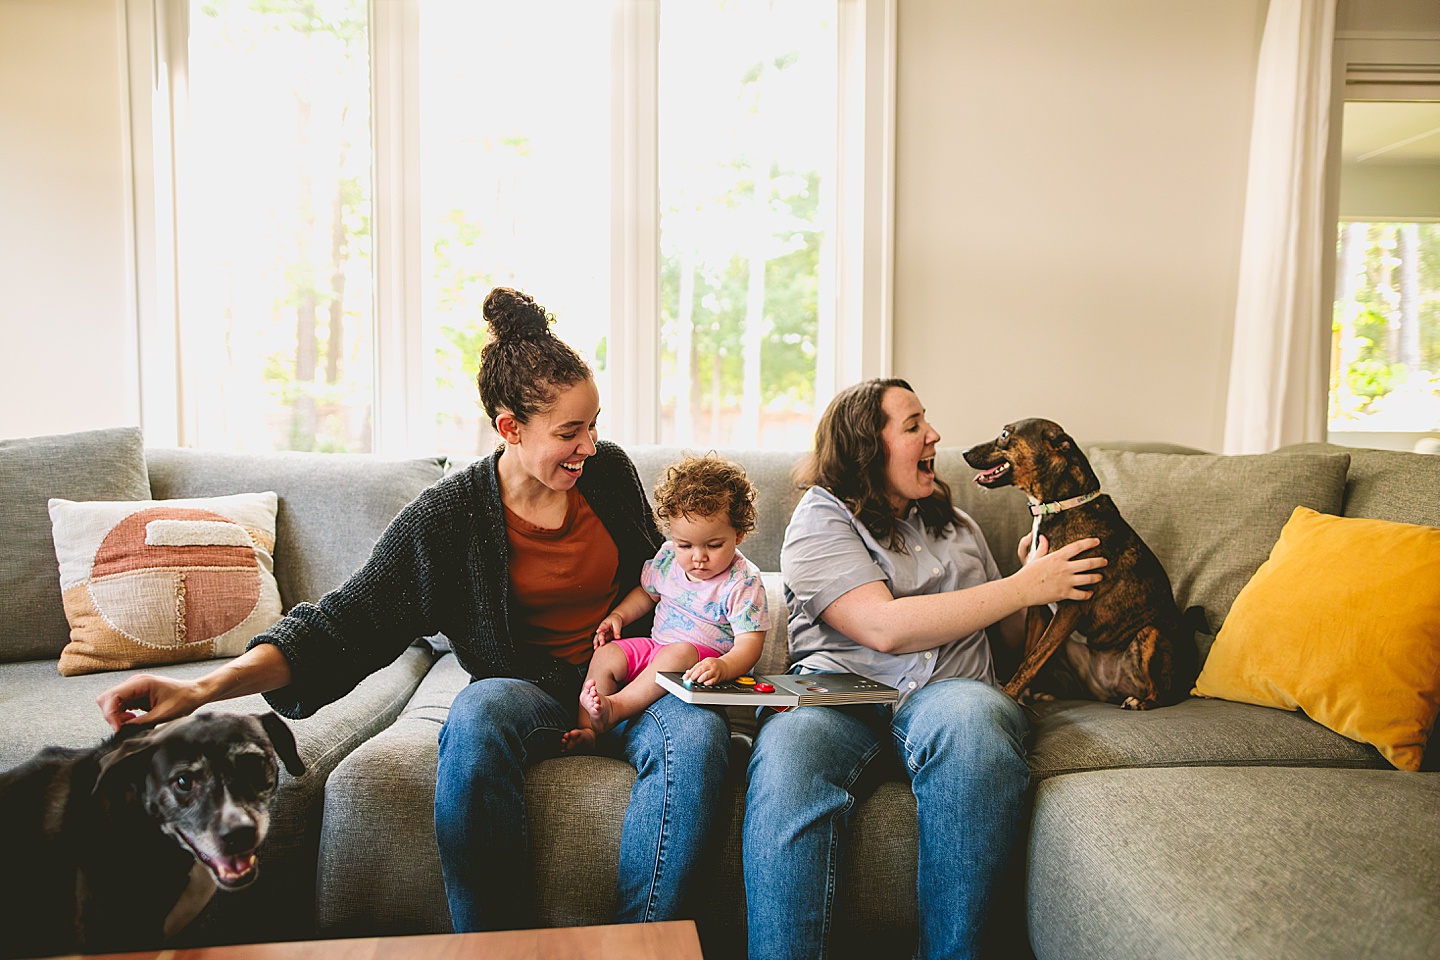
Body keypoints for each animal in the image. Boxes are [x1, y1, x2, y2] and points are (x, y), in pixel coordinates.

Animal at [961, 417, 1198, 711]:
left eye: (1005, 434)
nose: (964, 453)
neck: (1060, 506)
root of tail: (1111, 689)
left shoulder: (1070, 608)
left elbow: (1032, 659)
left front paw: (1008, 695)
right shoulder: (1038, 605)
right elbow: (1030, 653)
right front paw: (1025, 696)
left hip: (1151, 633)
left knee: (1165, 694)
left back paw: (1141, 702)